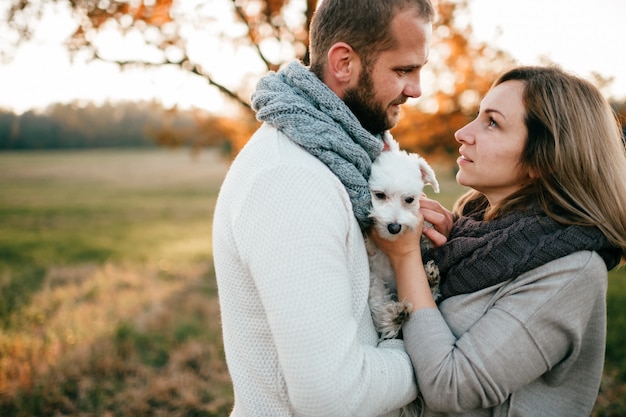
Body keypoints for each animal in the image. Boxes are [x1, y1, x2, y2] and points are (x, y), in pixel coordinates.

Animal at [366, 137, 438, 342]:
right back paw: (394, 317)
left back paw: (430, 279)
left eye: (409, 199)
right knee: (378, 305)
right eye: (380, 195)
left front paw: (428, 231)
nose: (394, 228)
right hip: (375, 283)